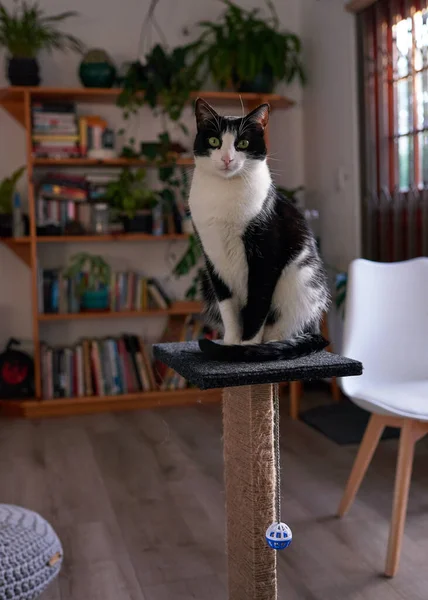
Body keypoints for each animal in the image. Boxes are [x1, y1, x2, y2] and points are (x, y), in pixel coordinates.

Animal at [189, 98, 330, 360]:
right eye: (214, 141)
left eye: (243, 143)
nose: (227, 159)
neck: (224, 193)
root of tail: (316, 326)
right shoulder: (211, 255)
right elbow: (227, 306)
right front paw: (231, 344)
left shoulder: (266, 255)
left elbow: (257, 304)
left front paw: (245, 350)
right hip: (205, 281)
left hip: (300, 281)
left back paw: (271, 345)